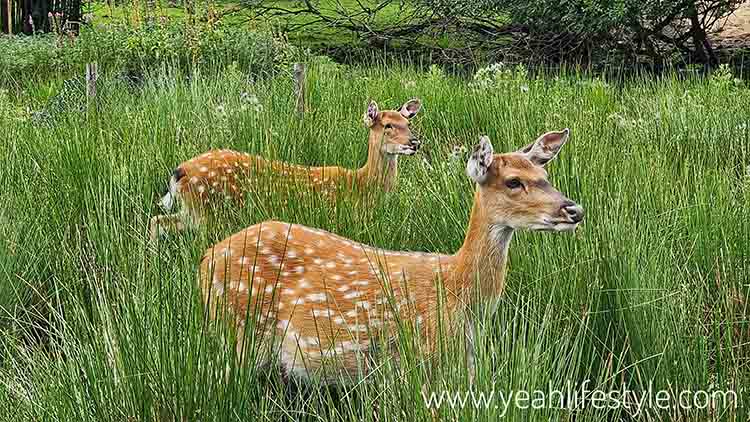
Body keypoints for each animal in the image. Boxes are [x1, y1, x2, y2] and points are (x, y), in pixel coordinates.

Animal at [149, 98, 423, 241]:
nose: (415, 142)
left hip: (192, 211)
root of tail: (180, 170)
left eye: (407, 122)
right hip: (209, 212)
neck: (363, 186)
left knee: (157, 221)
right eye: (387, 125)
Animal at [198, 129, 584, 383]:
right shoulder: (424, 361)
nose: (574, 210)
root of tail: (205, 259)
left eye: (545, 175)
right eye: (513, 182)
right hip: (234, 327)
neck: (459, 292)